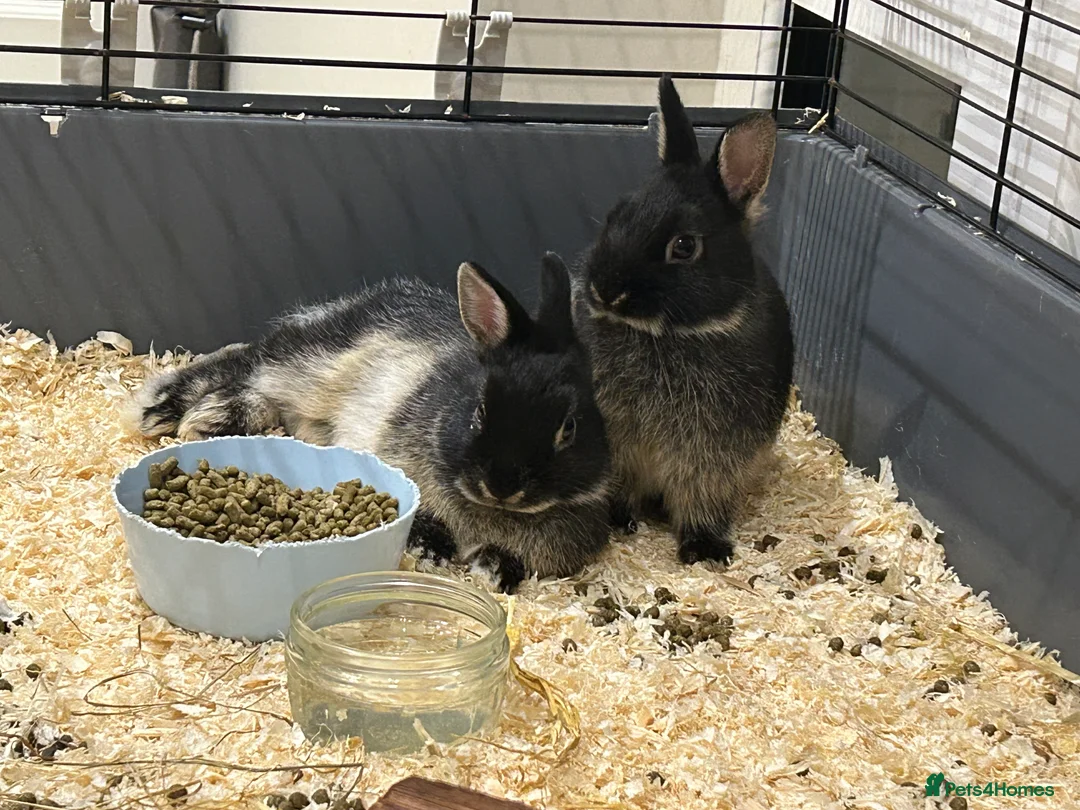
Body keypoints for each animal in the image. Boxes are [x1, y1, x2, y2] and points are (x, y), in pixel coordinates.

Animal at [132, 254, 614, 592]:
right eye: (479, 411)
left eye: (569, 428)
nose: (501, 486)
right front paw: (432, 550)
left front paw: (493, 571)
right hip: (313, 365)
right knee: (247, 364)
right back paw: (171, 413)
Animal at [574, 75, 794, 566]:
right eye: (617, 214)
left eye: (685, 246)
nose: (605, 290)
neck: (672, 336)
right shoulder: (618, 445)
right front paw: (618, 519)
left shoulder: (713, 458)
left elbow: (702, 498)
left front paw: (704, 549)